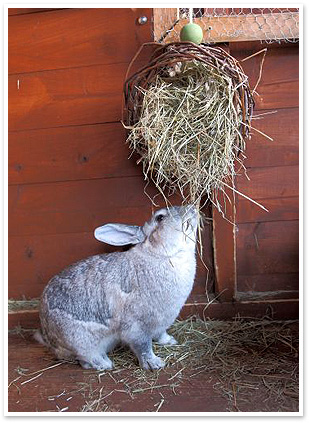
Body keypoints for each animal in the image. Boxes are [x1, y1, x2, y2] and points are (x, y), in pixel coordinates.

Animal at [34, 205, 197, 372]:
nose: (192, 208)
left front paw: (170, 341)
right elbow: (143, 347)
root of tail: (47, 334)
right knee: (85, 358)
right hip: (80, 342)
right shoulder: (137, 327)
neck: (159, 255)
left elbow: (160, 334)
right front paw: (154, 363)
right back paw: (104, 363)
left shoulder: (161, 323)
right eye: (160, 217)